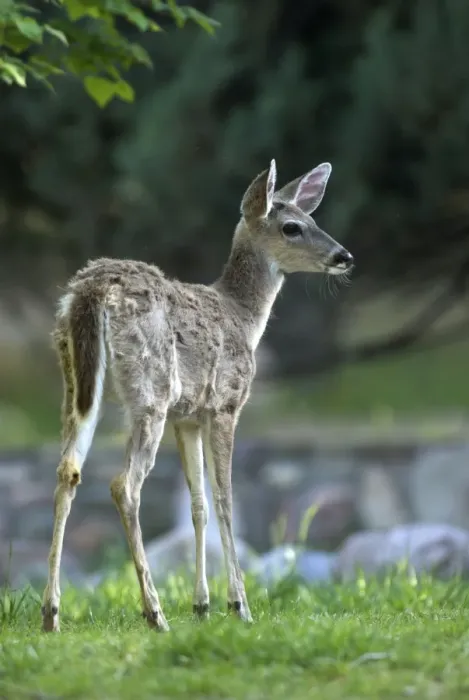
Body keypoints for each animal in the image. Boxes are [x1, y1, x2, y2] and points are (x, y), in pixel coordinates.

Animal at [41, 158, 353, 633]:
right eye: (292, 227)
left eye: (313, 219)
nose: (344, 257)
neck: (244, 318)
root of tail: (93, 291)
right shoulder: (225, 403)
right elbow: (225, 498)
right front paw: (239, 605)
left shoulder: (187, 416)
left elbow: (198, 503)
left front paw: (202, 605)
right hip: (150, 391)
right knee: (124, 485)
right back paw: (154, 612)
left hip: (77, 387)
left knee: (68, 471)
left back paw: (52, 614)